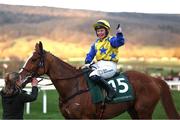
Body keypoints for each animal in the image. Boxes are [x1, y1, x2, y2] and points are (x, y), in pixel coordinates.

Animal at [19, 41, 179, 118]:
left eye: (33, 59)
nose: (20, 77)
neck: (73, 86)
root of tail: (154, 79)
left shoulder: (86, 118)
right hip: (134, 111)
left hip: (144, 111)